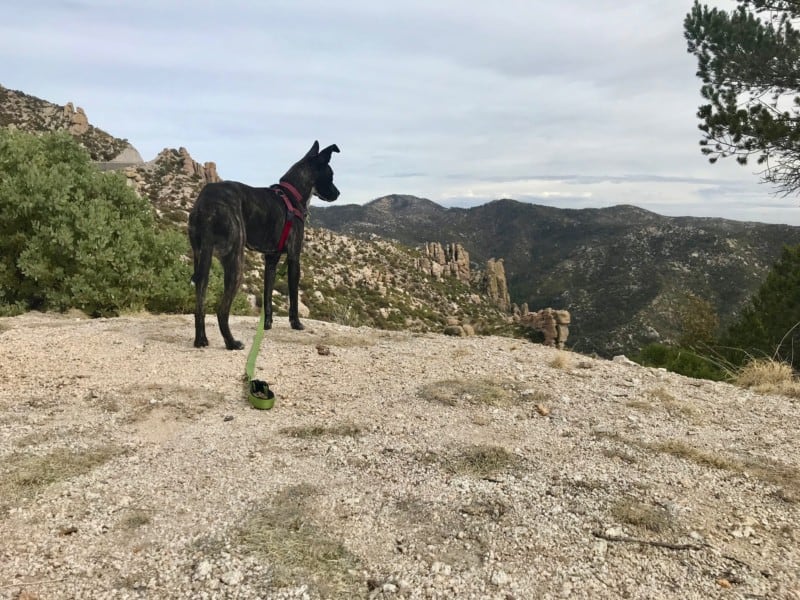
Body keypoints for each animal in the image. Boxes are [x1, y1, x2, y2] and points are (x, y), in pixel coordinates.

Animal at [189, 141, 340, 350]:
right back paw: (231, 342)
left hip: (201, 258)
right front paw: (296, 323)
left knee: (199, 303)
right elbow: (293, 295)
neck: (292, 194)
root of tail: (207, 204)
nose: (338, 193)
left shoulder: (271, 260)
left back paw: (200, 339)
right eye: (331, 175)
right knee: (222, 310)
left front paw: (267, 324)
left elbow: (268, 295)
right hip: (235, 260)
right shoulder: (294, 257)